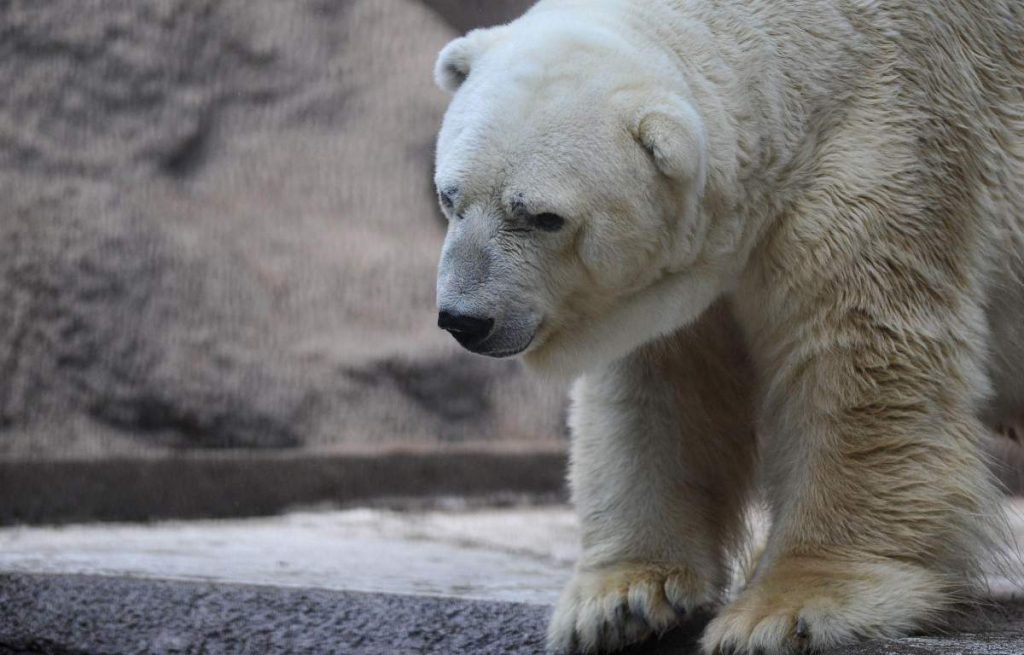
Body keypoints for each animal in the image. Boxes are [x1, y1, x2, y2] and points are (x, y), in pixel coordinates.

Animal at [428, 2, 1019, 650]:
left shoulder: (890, 147)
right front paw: (621, 600)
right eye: (450, 197)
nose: (465, 319)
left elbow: (858, 357)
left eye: (544, 217)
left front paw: (788, 608)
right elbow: (662, 384)